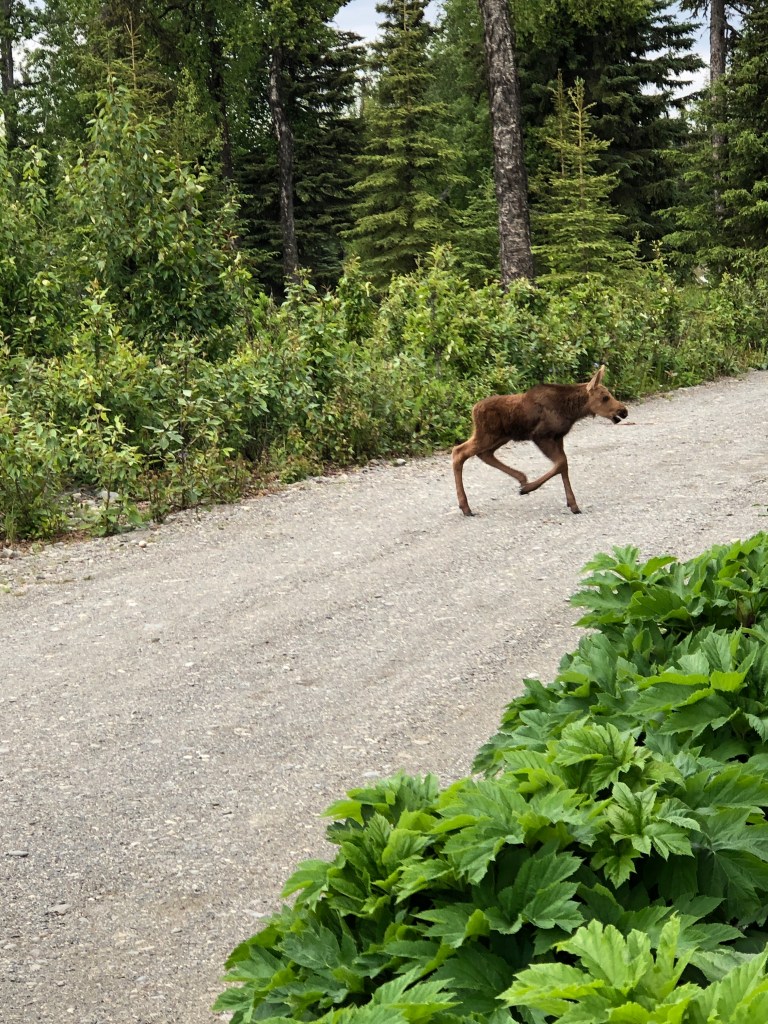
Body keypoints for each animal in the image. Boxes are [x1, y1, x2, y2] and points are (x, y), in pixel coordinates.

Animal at [452, 365, 628, 517]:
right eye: (605, 397)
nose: (624, 411)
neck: (572, 411)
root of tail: (473, 409)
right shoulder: (541, 435)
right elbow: (561, 463)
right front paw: (528, 489)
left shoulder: (558, 437)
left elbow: (563, 466)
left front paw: (572, 504)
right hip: (488, 435)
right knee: (459, 452)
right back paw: (466, 507)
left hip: (501, 437)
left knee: (484, 454)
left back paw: (520, 478)